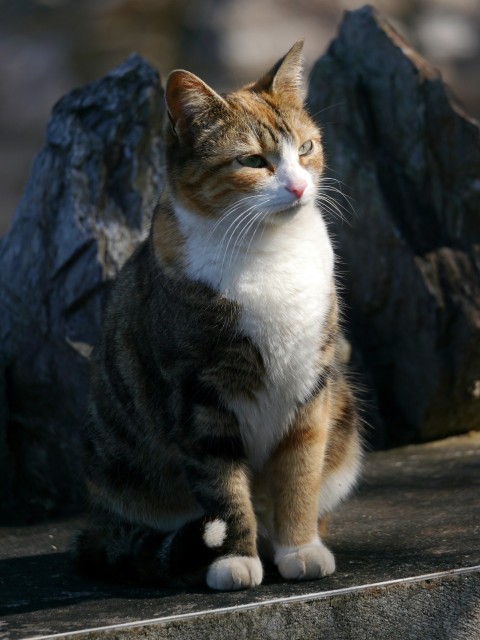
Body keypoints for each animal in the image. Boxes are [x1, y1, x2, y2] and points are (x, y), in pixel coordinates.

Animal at [74, 40, 360, 592]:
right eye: (252, 160)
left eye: (306, 149)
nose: (298, 187)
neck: (269, 251)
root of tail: (95, 522)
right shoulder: (196, 395)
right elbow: (224, 489)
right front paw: (234, 560)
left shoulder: (312, 384)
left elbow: (299, 473)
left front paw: (300, 548)